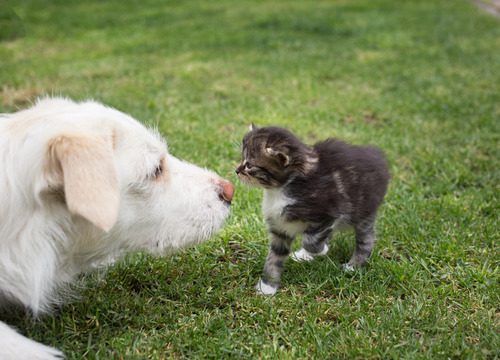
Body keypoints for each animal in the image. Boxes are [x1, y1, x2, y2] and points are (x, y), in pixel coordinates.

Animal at [237, 126, 390, 296]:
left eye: (249, 165)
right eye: (242, 159)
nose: (237, 170)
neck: (280, 189)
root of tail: (377, 157)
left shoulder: (328, 214)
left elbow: (311, 241)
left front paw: (322, 251)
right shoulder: (280, 227)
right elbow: (275, 256)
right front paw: (267, 287)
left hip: (364, 210)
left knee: (366, 239)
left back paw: (353, 266)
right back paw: (304, 256)